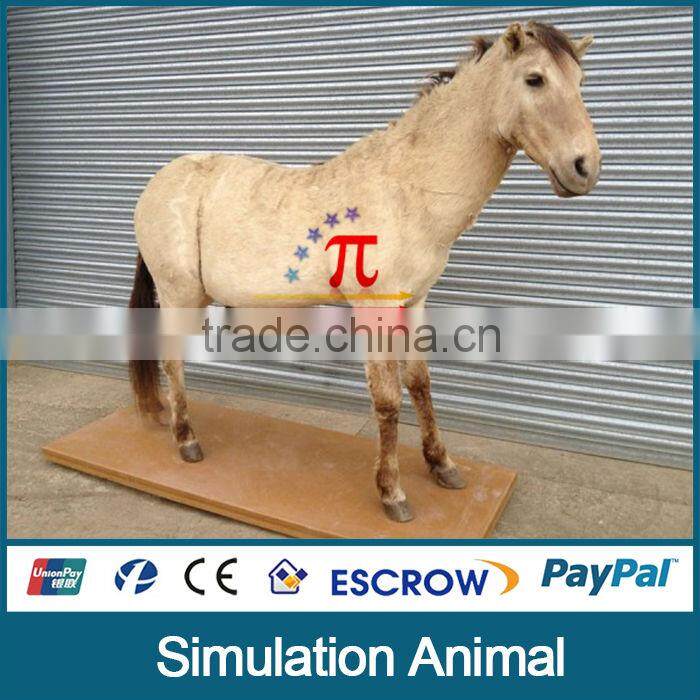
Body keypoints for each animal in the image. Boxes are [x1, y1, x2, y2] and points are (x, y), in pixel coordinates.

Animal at [128, 21, 601, 523]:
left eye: (580, 82)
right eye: (535, 79)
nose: (585, 167)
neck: (408, 190)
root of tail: (159, 182)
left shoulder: (415, 302)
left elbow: (420, 382)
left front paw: (442, 466)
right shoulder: (374, 310)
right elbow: (388, 398)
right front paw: (392, 493)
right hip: (178, 295)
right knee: (171, 359)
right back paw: (187, 440)